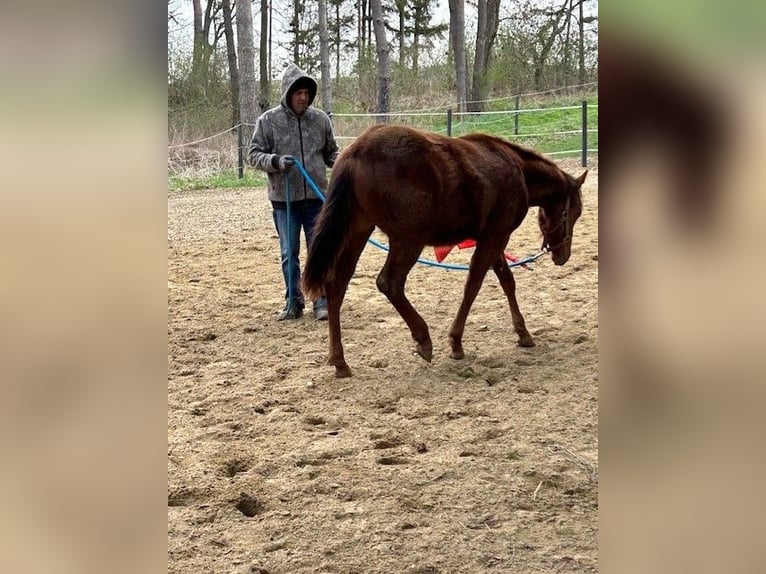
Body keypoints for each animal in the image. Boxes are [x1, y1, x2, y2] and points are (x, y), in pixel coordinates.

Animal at [301, 124, 587, 378]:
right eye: (572, 213)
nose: (562, 255)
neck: (516, 169)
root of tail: (357, 151)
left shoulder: (492, 239)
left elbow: (507, 281)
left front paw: (523, 333)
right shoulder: (495, 238)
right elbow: (473, 286)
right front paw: (456, 342)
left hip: (358, 230)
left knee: (337, 284)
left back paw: (340, 361)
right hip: (408, 240)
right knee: (389, 283)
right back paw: (423, 339)